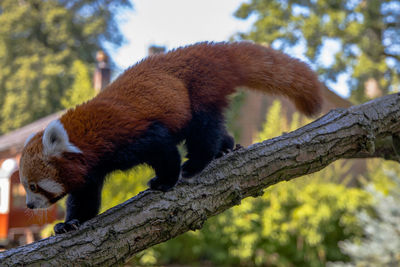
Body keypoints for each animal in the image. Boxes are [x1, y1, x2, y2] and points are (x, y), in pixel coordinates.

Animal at [20, 42, 324, 234]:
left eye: (33, 186)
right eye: (25, 187)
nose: (29, 206)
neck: (87, 139)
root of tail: (211, 49)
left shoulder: (133, 133)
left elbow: (164, 151)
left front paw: (165, 181)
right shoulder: (92, 168)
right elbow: (85, 198)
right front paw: (71, 223)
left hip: (199, 88)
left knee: (203, 129)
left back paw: (197, 163)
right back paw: (224, 149)